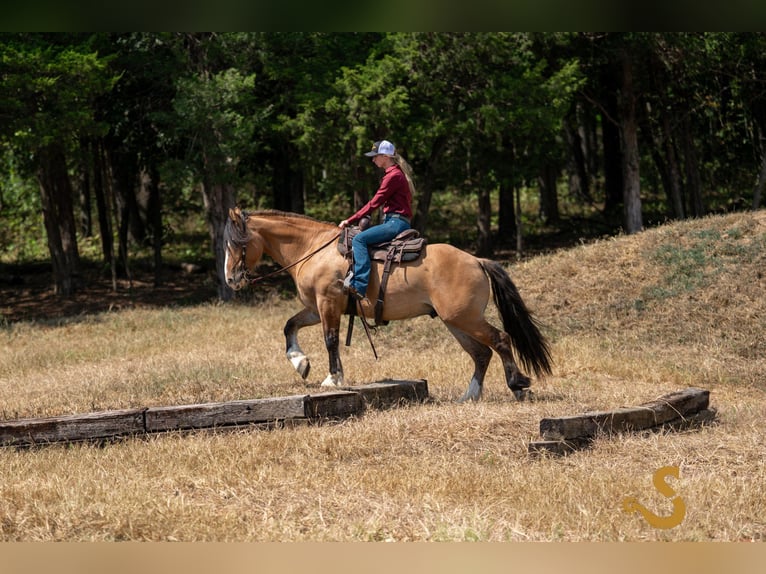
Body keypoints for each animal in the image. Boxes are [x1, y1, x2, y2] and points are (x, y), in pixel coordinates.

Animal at [223, 207, 552, 402]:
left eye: (237, 244)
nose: (230, 279)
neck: (312, 249)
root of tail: (476, 260)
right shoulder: (316, 308)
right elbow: (289, 326)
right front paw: (300, 362)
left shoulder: (328, 303)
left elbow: (330, 340)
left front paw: (332, 378)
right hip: (456, 320)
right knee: (481, 353)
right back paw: (469, 395)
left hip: (466, 318)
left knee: (500, 340)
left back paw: (517, 383)